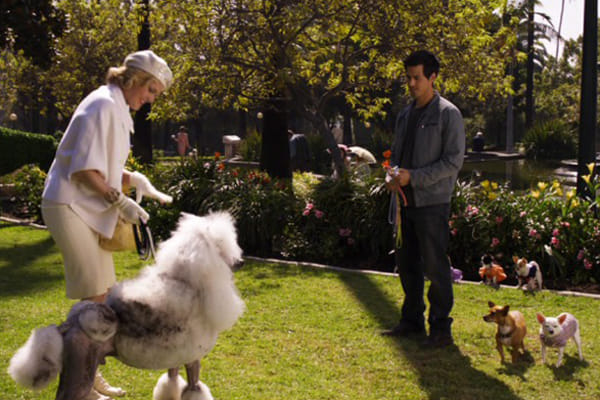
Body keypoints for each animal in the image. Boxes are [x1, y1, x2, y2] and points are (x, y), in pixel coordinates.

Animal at [8, 211, 245, 400]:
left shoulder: (175, 360)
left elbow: (171, 383)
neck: (189, 282)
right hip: (81, 372)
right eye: (223, 248)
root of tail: (69, 324)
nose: (242, 262)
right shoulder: (193, 360)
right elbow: (194, 387)